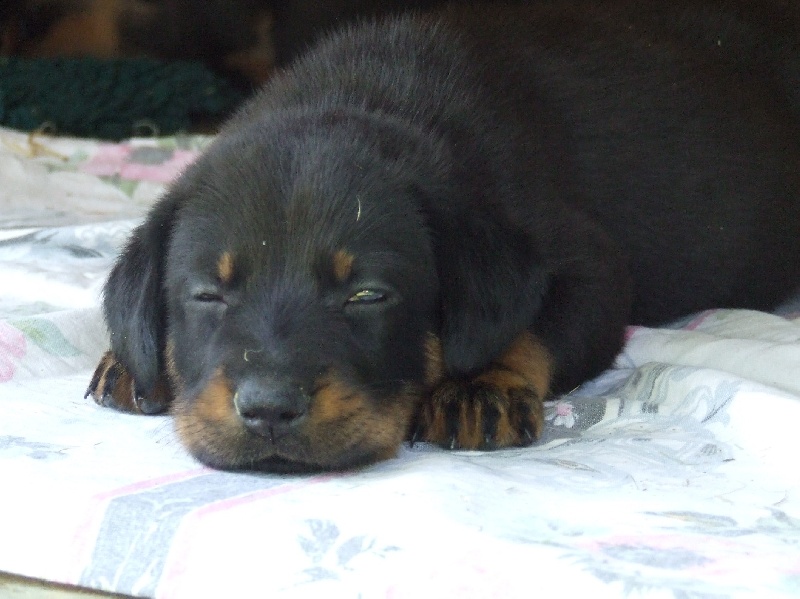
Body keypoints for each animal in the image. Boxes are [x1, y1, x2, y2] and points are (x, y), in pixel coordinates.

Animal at [84, 0, 796, 474]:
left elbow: (529, 326)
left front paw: (482, 385)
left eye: (368, 296)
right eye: (207, 296)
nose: (267, 410)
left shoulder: (592, 268)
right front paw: (129, 360)